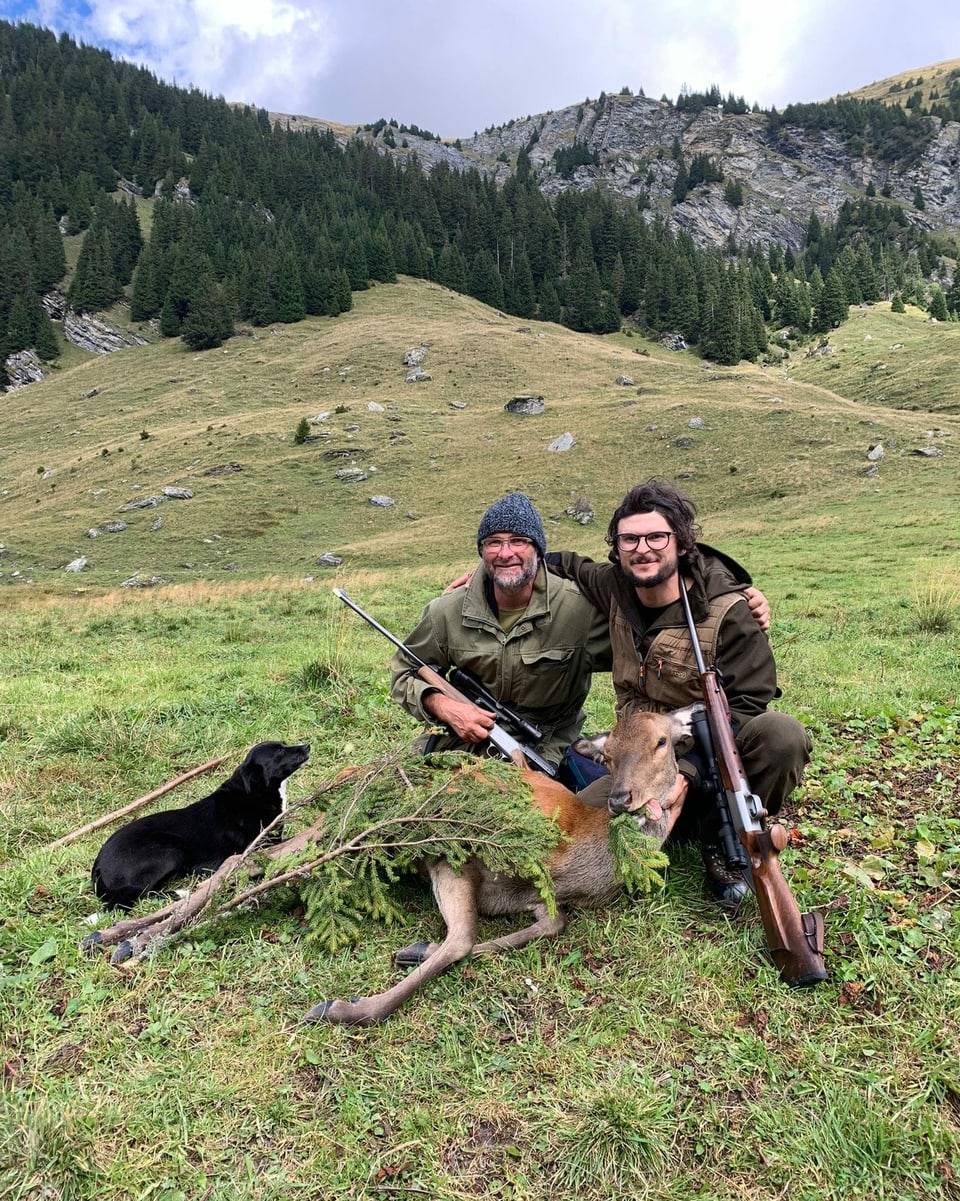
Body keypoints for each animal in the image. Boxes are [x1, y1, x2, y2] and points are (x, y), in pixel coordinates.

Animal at [91, 739, 309, 907]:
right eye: (279, 751)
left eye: (284, 744)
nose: (307, 745)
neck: (254, 795)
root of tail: (98, 865)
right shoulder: (260, 846)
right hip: (169, 851)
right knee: (124, 901)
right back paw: (180, 894)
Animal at [307, 701, 696, 1023]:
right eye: (609, 755)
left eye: (661, 742)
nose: (620, 799)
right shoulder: (456, 852)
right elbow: (462, 938)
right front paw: (341, 1008)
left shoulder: (537, 898)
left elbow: (553, 924)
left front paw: (417, 949)